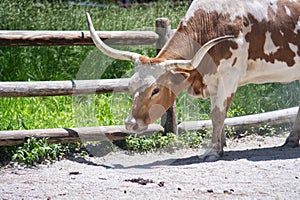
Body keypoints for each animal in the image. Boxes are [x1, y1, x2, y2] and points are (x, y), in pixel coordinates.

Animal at [85, 0, 300, 160]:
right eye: (130, 86)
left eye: (155, 90)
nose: (130, 124)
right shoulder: (213, 80)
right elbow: (219, 115)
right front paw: (220, 146)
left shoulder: (228, 77)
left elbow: (217, 114)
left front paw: (212, 151)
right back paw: (292, 139)